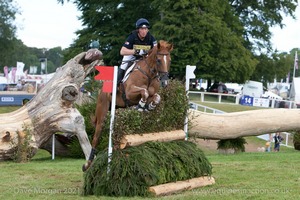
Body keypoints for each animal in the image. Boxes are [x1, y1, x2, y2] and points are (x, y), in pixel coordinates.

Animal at [82, 39, 173, 171]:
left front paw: (149, 107)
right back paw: (87, 165)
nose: (165, 82)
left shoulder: (152, 94)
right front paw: (140, 107)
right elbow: (144, 92)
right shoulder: (130, 93)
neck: (149, 74)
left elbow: (156, 97)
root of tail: (100, 91)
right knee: (95, 138)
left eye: (169, 60)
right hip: (102, 113)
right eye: (159, 60)